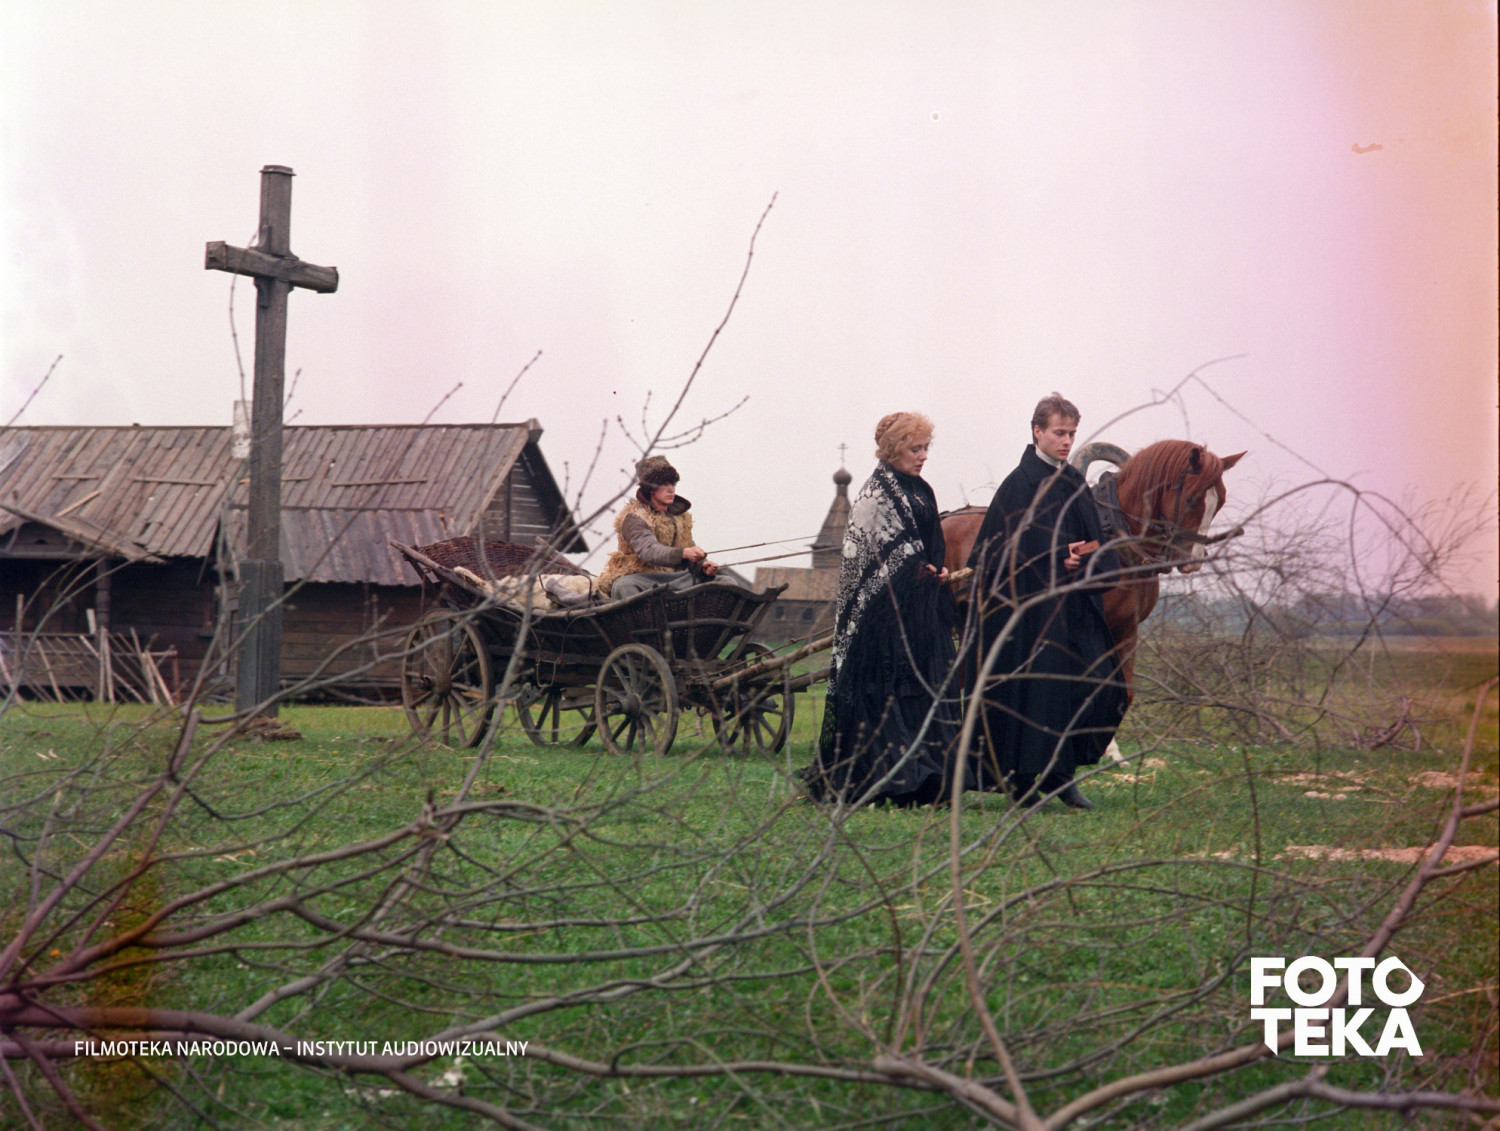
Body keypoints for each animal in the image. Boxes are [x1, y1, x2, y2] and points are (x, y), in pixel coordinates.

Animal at [942, 439, 1245, 759]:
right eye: (1189, 499)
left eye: (1219, 502)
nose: (1194, 562)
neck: (1117, 540)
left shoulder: (1127, 628)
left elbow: (1123, 690)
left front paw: (1108, 750)